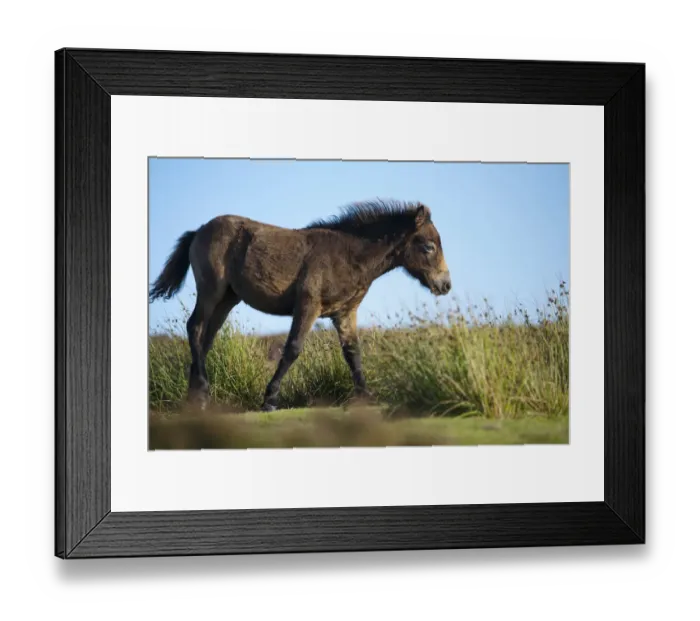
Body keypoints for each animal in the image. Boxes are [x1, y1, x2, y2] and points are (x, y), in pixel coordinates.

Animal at [149, 199, 452, 412]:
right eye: (428, 246)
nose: (445, 285)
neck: (348, 255)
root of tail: (199, 230)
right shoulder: (308, 305)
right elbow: (292, 348)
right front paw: (270, 400)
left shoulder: (345, 313)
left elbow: (353, 353)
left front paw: (366, 396)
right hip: (211, 291)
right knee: (195, 328)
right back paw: (200, 393)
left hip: (227, 299)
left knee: (205, 338)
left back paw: (194, 398)